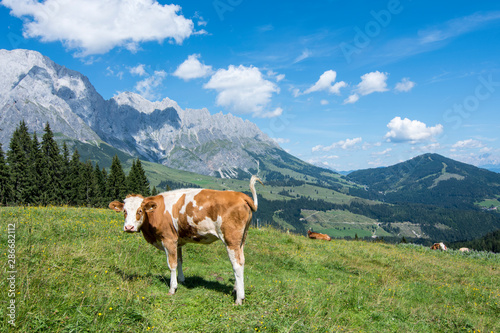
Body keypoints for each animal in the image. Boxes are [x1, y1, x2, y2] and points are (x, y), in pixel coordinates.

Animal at [109, 175, 264, 304]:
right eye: (124, 211)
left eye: (140, 211)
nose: (128, 227)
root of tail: (240, 195)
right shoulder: (178, 241)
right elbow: (179, 260)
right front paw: (181, 280)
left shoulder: (169, 239)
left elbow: (171, 264)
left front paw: (172, 288)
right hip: (242, 239)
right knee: (241, 261)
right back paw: (236, 289)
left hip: (231, 238)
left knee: (236, 264)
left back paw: (239, 298)